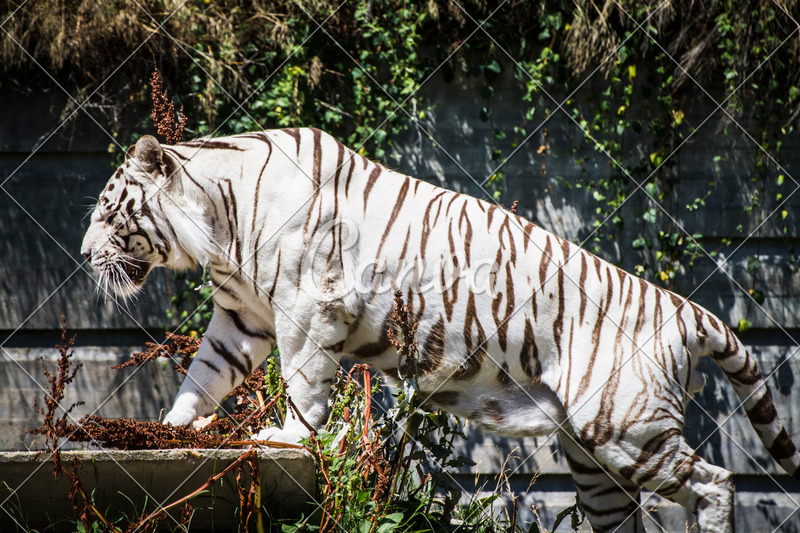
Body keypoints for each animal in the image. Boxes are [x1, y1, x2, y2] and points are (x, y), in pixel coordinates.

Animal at [83, 127, 800, 528]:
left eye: (105, 211)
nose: (85, 255)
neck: (217, 221)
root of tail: (686, 309)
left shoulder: (306, 307)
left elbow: (305, 382)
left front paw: (288, 436)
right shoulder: (242, 315)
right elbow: (204, 375)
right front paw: (174, 428)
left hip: (625, 429)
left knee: (716, 482)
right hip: (596, 462)